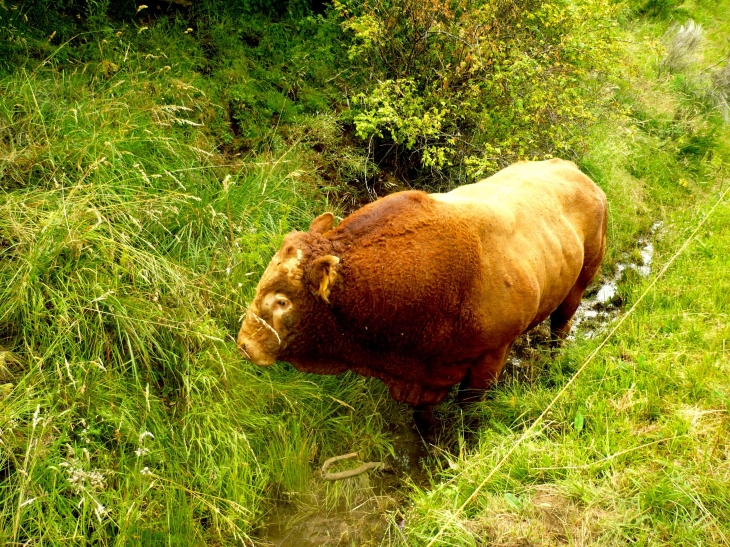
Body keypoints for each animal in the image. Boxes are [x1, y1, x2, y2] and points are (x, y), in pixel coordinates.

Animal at [236, 158, 604, 424]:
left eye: (282, 300)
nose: (245, 344)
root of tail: (576, 173)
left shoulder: (489, 359)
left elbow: (470, 414)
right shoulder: (424, 379)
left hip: (580, 284)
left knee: (560, 327)